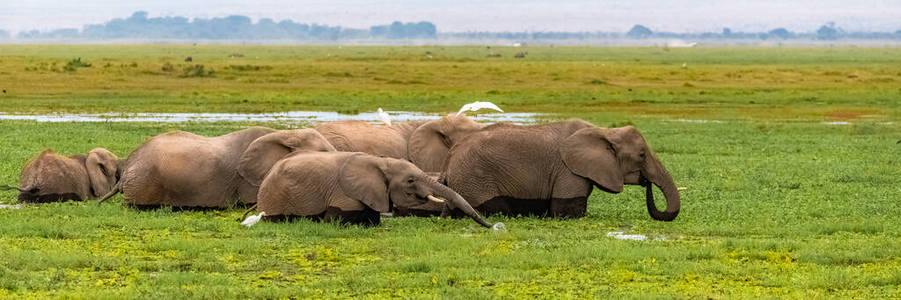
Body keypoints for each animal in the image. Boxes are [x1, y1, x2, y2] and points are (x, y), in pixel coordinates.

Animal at [241, 151, 492, 229]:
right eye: (410, 180)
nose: (492, 227)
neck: (380, 162)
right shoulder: (344, 192)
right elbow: (337, 220)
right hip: (274, 195)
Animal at [440, 119, 680, 220]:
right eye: (642, 155)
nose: (646, 182)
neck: (603, 131)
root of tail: (450, 156)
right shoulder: (567, 171)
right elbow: (566, 211)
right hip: (474, 178)